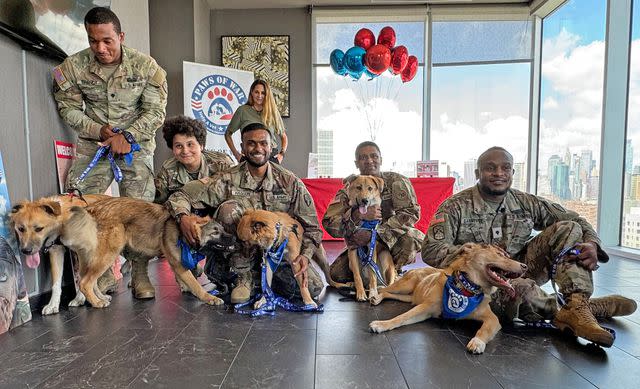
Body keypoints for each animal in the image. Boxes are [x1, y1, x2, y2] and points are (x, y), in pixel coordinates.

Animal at [60, 197, 225, 310]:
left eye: (222, 229)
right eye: (215, 232)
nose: (231, 238)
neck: (180, 230)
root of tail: (91, 210)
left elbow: (189, 278)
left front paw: (186, 287)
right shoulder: (178, 264)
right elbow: (195, 284)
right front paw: (209, 297)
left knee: (89, 280)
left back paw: (101, 297)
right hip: (108, 254)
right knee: (85, 282)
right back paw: (96, 302)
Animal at [344, 174, 396, 302]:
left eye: (370, 188)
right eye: (358, 187)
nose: (365, 200)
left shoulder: (372, 247)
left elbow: (373, 273)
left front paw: (372, 293)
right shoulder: (352, 249)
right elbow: (357, 276)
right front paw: (361, 293)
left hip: (385, 256)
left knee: (390, 283)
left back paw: (381, 288)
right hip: (350, 262)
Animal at [368, 244, 528, 354]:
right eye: (500, 254)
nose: (525, 266)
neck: (466, 288)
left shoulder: (492, 318)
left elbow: (485, 329)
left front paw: (477, 342)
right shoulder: (425, 308)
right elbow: (401, 317)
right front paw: (382, 324)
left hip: (409, 297)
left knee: (390, 293)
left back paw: (377, 297)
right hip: (405, 286)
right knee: (385, 289)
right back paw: (374, 295)